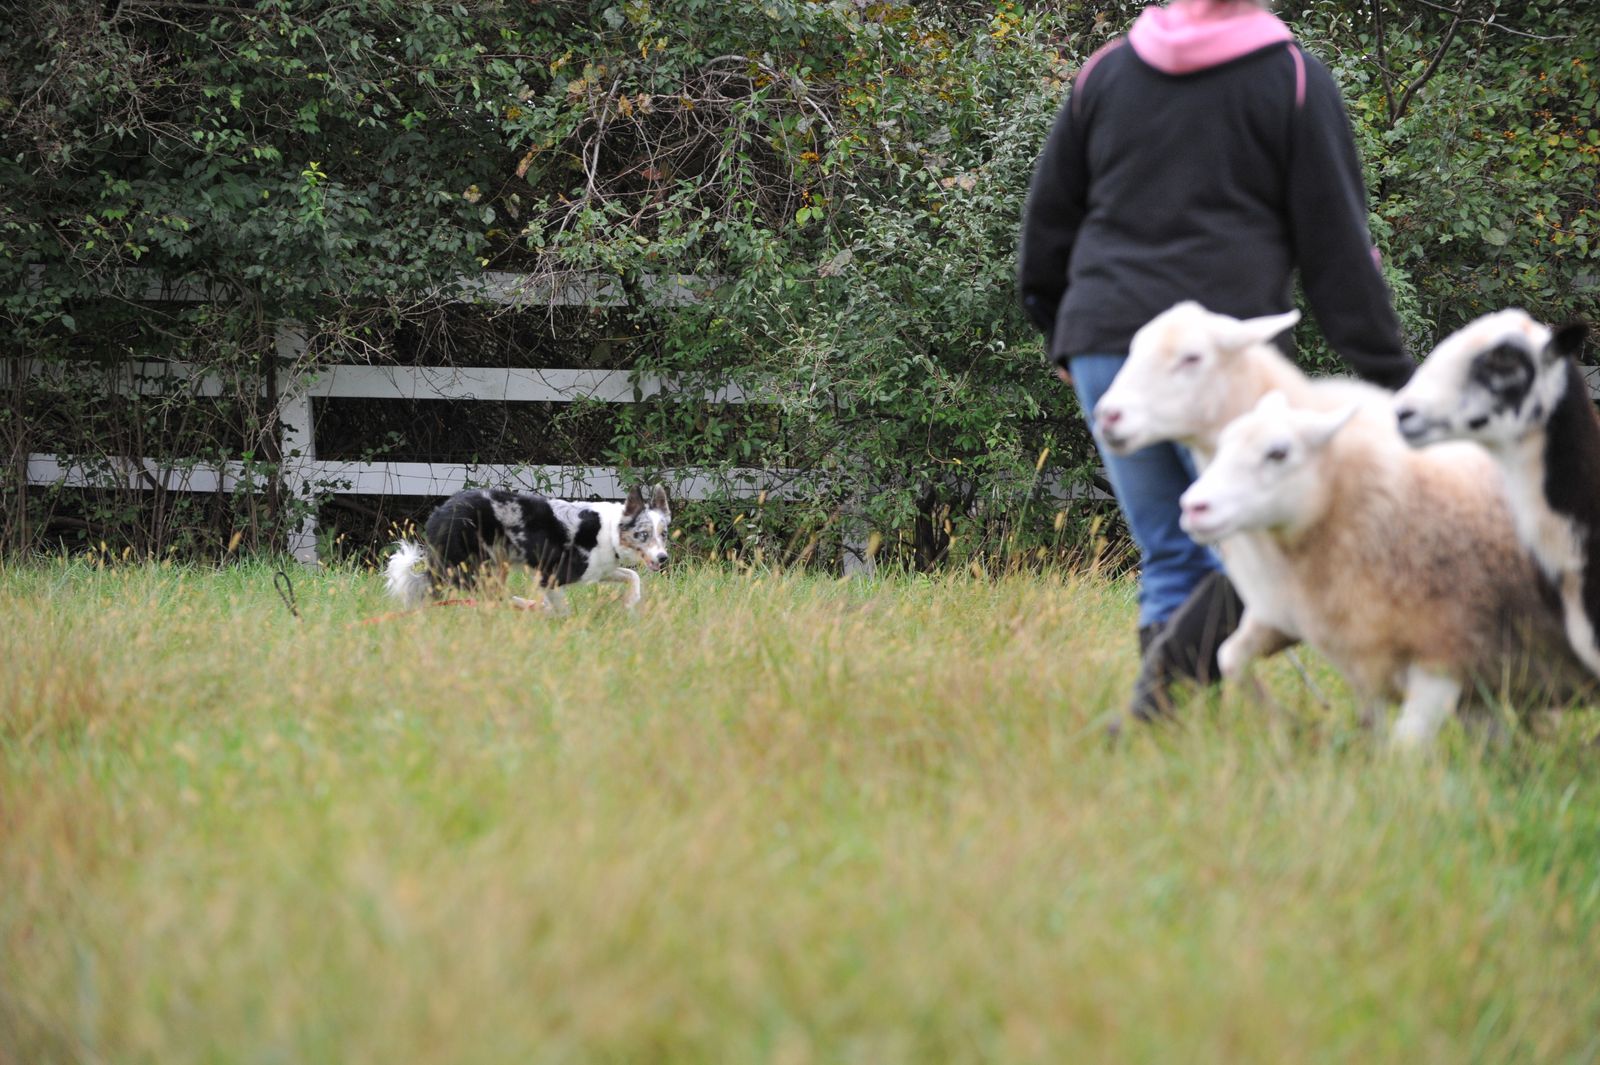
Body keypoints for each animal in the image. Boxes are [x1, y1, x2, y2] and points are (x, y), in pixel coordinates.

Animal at [385, 484, 671, 612]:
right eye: (643, 534)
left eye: (663, 534)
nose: (663, 558)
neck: (610, 532)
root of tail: (439, 513)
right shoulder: (551, 575)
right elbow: (561, 608)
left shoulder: (599, 570)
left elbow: (631, 575)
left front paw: (632, 600)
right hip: (475, 565)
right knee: (491, 595)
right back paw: (526, 605)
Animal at [1178, 391, 1583, 746]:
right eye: (1222, 444)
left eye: (1278, 453)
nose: (1193, 507)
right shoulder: (1307, 624)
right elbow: (1230, 658)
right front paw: (1291, 725)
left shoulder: (1443, 653)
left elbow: (1405, 750)